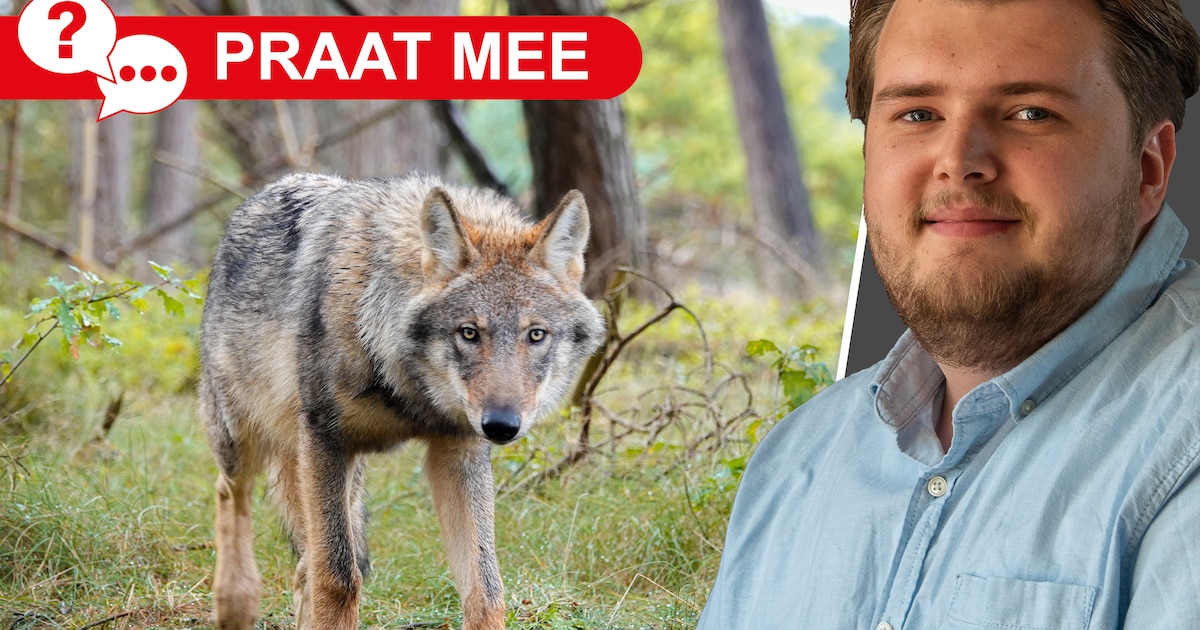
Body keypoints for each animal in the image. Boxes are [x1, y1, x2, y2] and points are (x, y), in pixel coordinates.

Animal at [198, 173, 605, 630]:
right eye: (469, 333)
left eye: (536, 335)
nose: (501, 425)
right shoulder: (324, 441)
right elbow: (339, 579)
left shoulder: (459, 451)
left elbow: (487, 591)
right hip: (245, 440)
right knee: (231, 491)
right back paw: (235, 602)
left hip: (341, 474)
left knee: (305, 563)